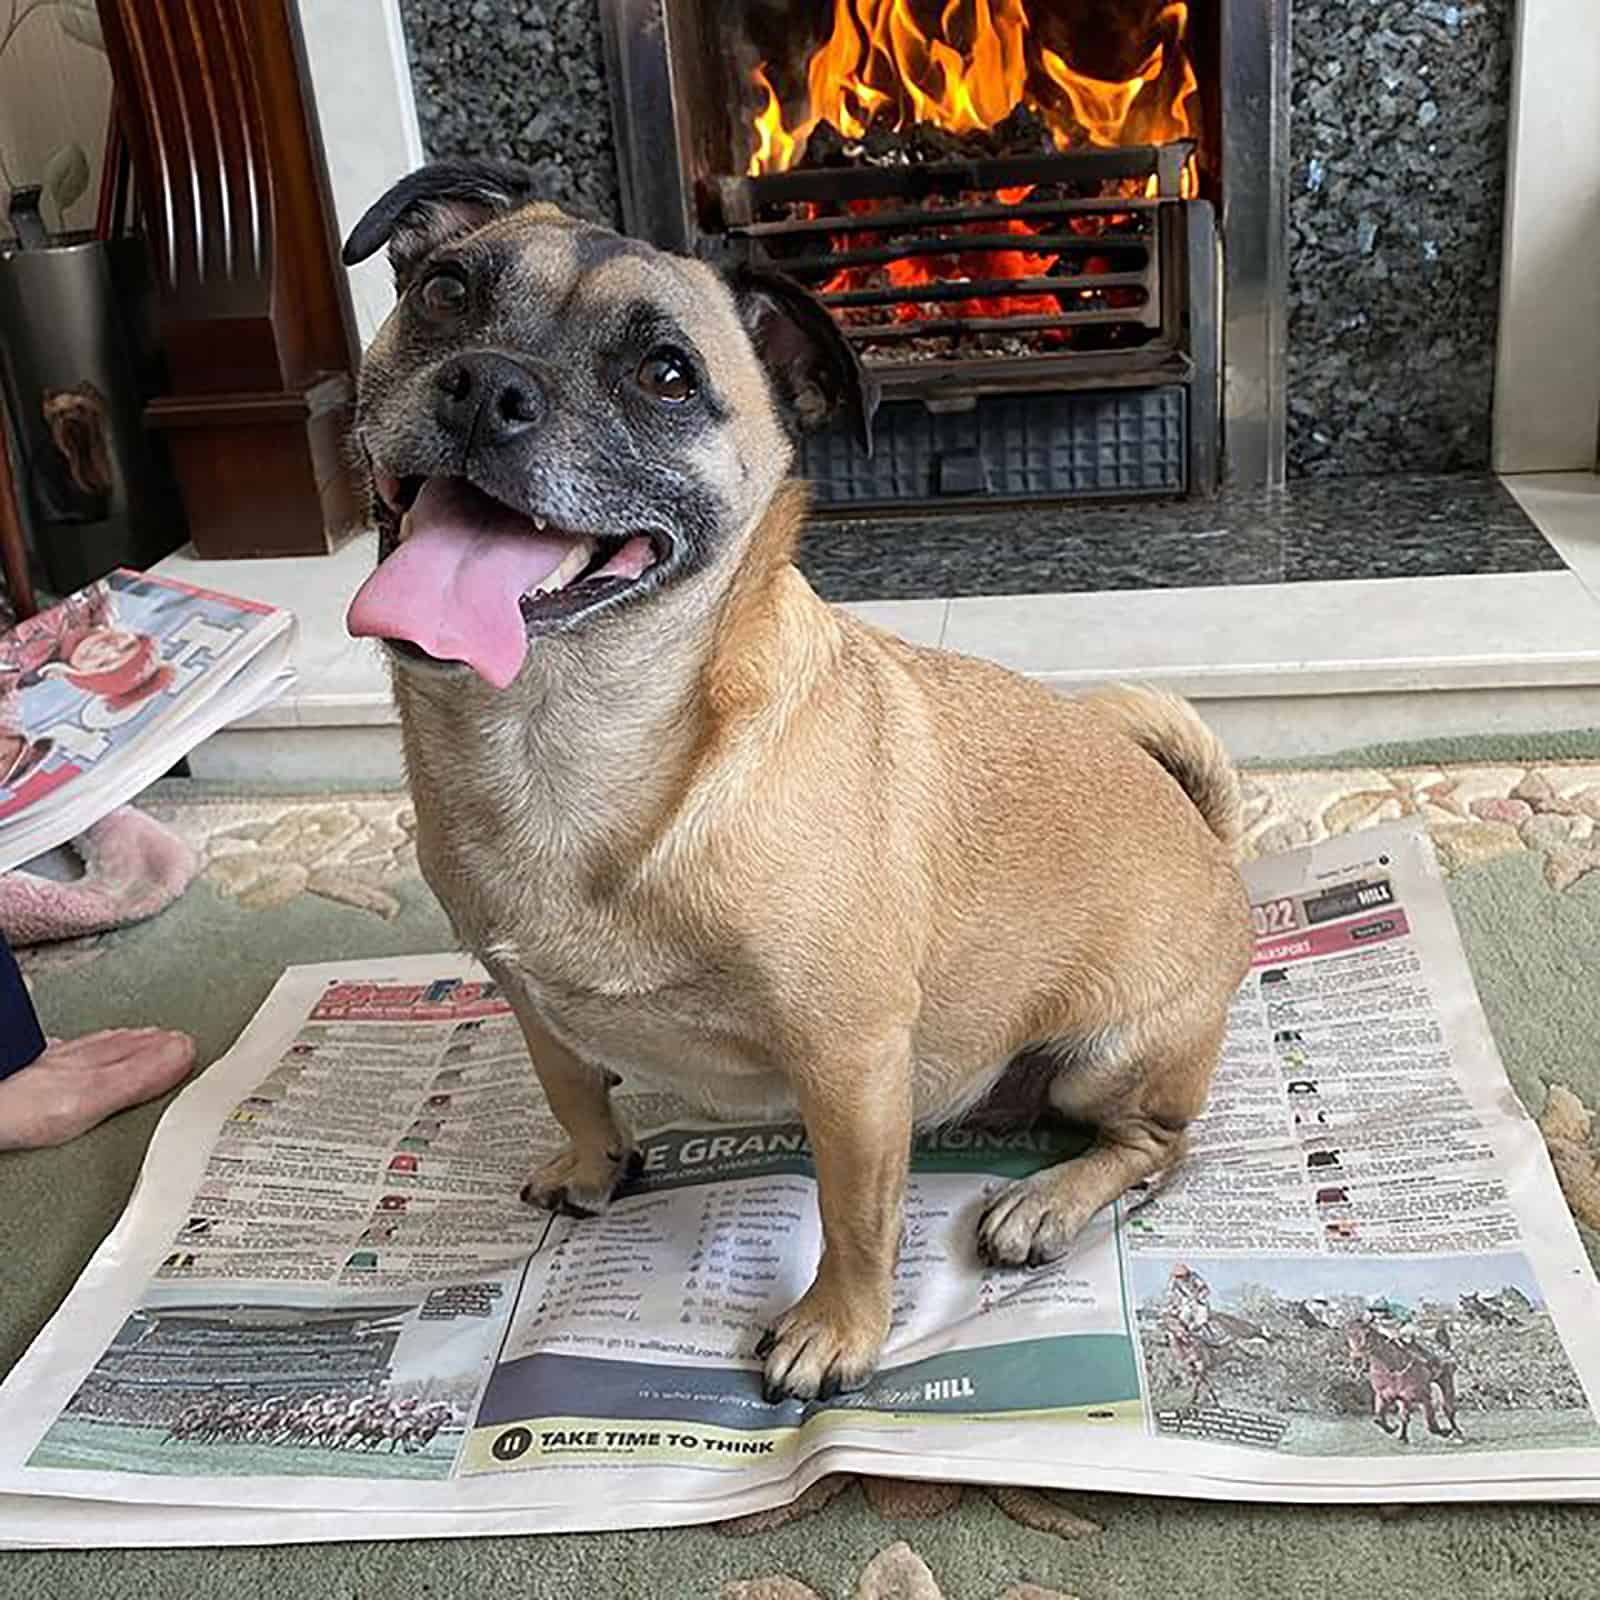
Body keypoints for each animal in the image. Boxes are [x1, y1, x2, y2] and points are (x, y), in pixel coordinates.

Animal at [344, 162, 1254, 1408]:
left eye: (666, 376)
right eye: (444, 292)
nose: (490, 384)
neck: (559, 736)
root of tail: (1213, 847)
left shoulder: (850, 1060)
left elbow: (855, 1214)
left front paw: (837, 1329)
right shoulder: (525, 999)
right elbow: (570, 1083)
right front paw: (593, 1162)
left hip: (1107, 1060)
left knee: (1158, 1147)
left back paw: (1043, 1202)